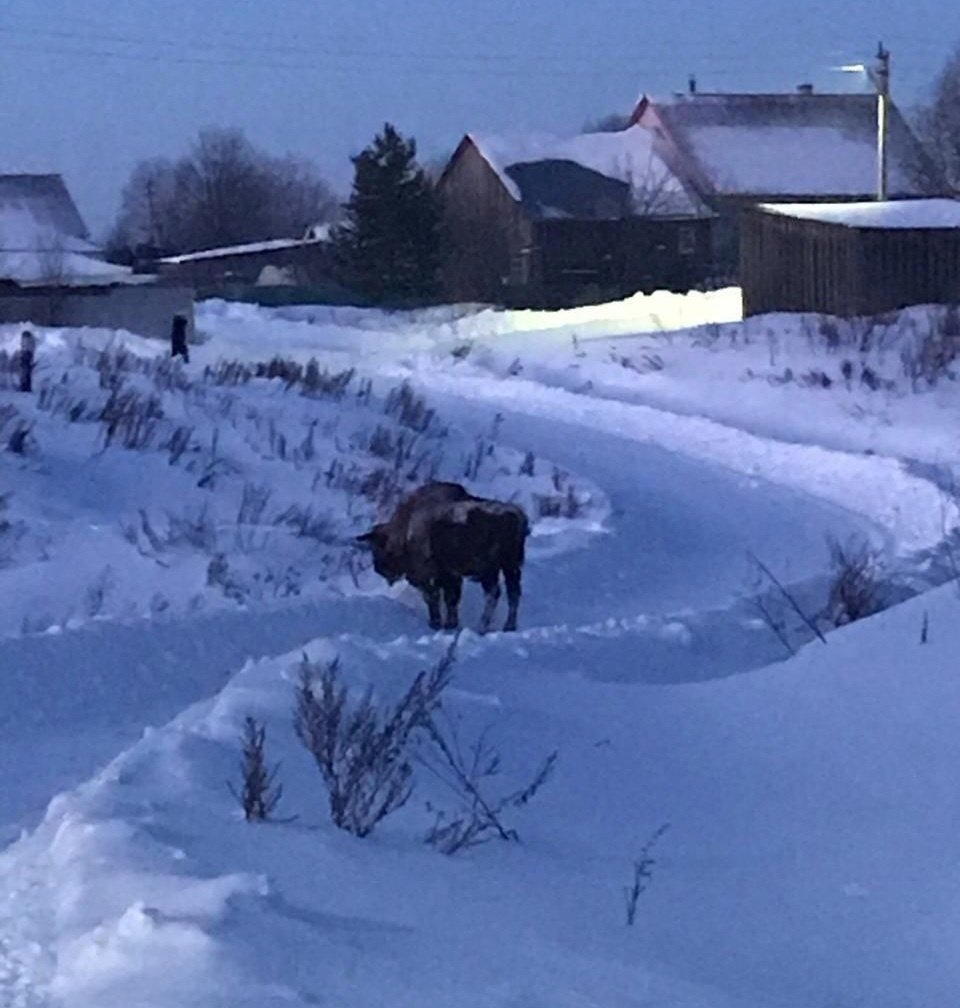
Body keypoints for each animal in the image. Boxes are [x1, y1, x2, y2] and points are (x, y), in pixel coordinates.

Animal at [356, 481, 528, 637]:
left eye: (378, 547)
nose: (379, 568)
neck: (406, 530)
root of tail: (516, 516)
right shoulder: (450, 576)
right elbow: (451, 599)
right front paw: (451, 624)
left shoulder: (427, 576)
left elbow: (433, 598)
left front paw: (436, 624)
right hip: (510, 567)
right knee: (513, 593)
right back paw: (508, 626)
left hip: (489, 570)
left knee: (494, 594)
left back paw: (482, 627)